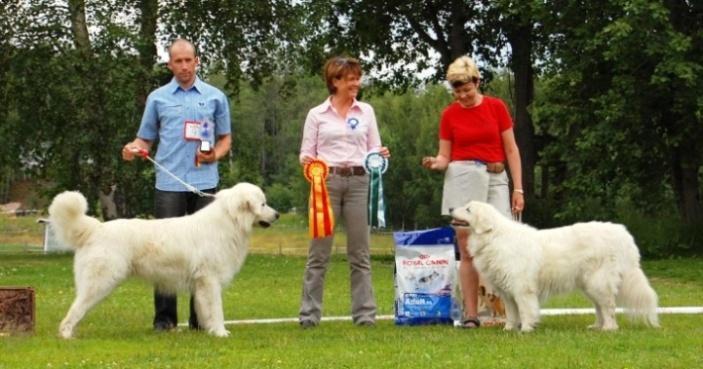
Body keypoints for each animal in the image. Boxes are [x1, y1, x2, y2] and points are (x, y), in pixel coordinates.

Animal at [48, 183, 280, 338]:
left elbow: (203, 309)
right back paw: (66, 334)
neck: (229, 221)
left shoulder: (201, 284)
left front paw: (208, 330)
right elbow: (216, 309)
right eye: (263, 204)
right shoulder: (210, 280)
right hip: (100, 281)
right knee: (76, 308)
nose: (277, 215)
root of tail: (95, 228)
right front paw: (221, 332)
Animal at [452, 200, 660, 332]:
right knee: (600, 307)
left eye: (468, 209)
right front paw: (508, 329)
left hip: (598, 283)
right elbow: (511, 313)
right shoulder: (506, 292)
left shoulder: (522, 289)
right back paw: (597, 326)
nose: (450, 208)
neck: (493, 237)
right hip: (590, 285)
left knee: (608, 306)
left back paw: (609, 329)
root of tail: (622, 233)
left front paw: (526, 329)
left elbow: (525, 310)